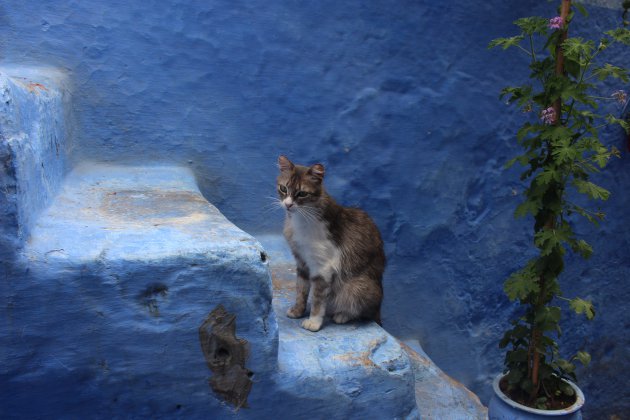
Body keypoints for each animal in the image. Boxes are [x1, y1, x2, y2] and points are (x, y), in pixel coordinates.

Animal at [276, 154, 386, 332]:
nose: (288, 204)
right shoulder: (302, 262)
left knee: (363, 313)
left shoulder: (323, 268)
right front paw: (298, 311)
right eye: (283, 188)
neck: (301, 219)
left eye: (302, 193)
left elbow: (318, 299)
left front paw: (313, 322)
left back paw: (342, 315)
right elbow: (301, 290)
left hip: (357, 287)